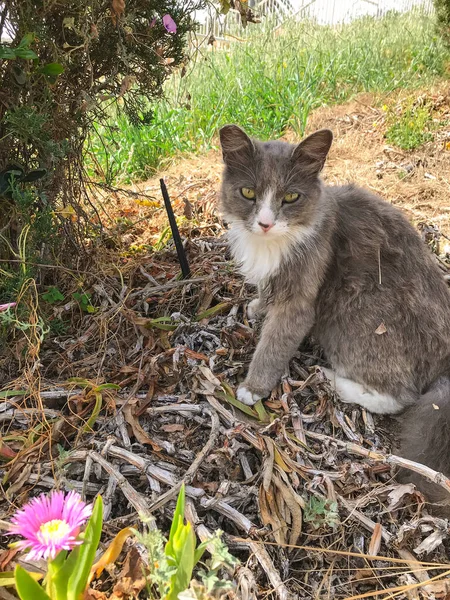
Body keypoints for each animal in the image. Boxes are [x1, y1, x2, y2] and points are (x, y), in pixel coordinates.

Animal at [220, 125, 450, 502]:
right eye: (248, 192)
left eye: (291, 197)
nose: (265, 223)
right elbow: (266, 292)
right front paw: (258, 306)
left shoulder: (302, 297)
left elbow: (274, 343)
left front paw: (253, 389)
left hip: (357, 311)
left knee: (401, 397)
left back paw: (330, 378)